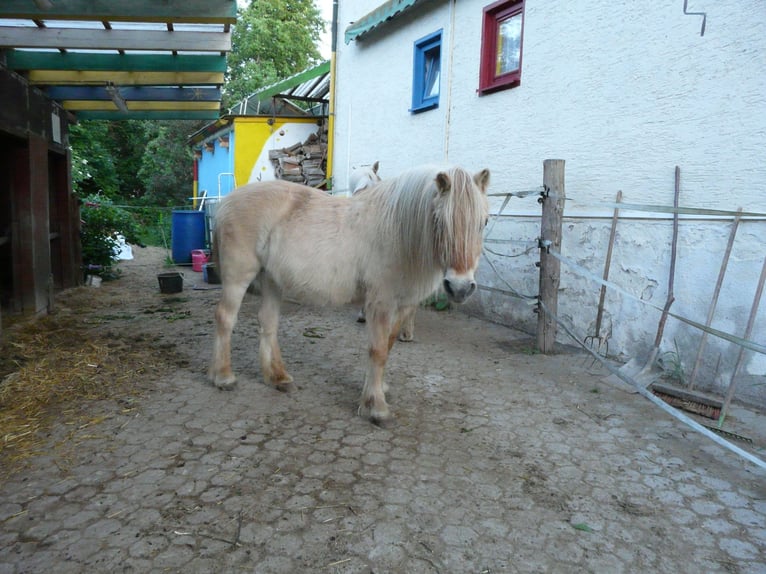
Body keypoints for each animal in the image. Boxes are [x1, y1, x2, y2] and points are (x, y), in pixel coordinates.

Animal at [209, 164, 490, 425]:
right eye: (439, 220)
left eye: (484, 222)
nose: (460, 287)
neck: (397, 231)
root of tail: (226, 202)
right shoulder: (380, 303)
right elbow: (378, 350)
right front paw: (376, 407)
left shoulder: (400, 306)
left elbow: (387, 347)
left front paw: (376, 389)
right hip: (239, 276)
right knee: (225, 318)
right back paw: (223, 377)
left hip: (271, 279)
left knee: (268, 322)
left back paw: (277, 377)